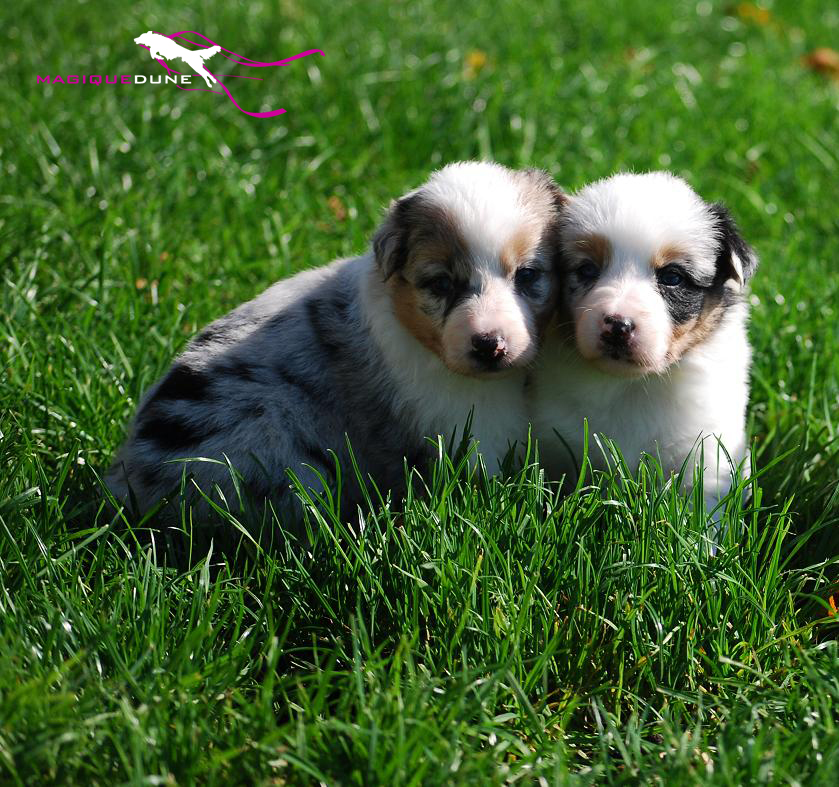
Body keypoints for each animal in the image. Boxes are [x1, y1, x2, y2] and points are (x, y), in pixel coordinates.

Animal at [529, 172, 757, 512]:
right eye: (587, 269)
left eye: (673, 277)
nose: (617, 326)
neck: (632, 385)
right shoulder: (554, 445)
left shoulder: (706, 455)